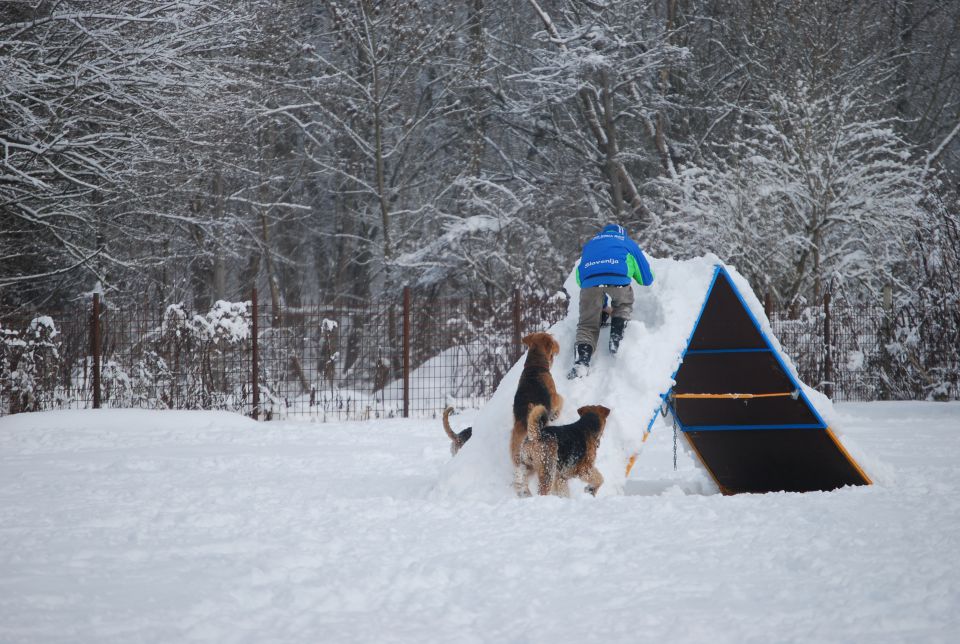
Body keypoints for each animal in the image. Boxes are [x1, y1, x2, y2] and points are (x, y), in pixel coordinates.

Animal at [510, 332, 564, 498]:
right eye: (552, 340)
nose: (558, 346)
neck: (534, 367)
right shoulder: (554, 397)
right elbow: (561, 400)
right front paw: (555, 415)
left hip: (519, 456)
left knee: (520, 476)